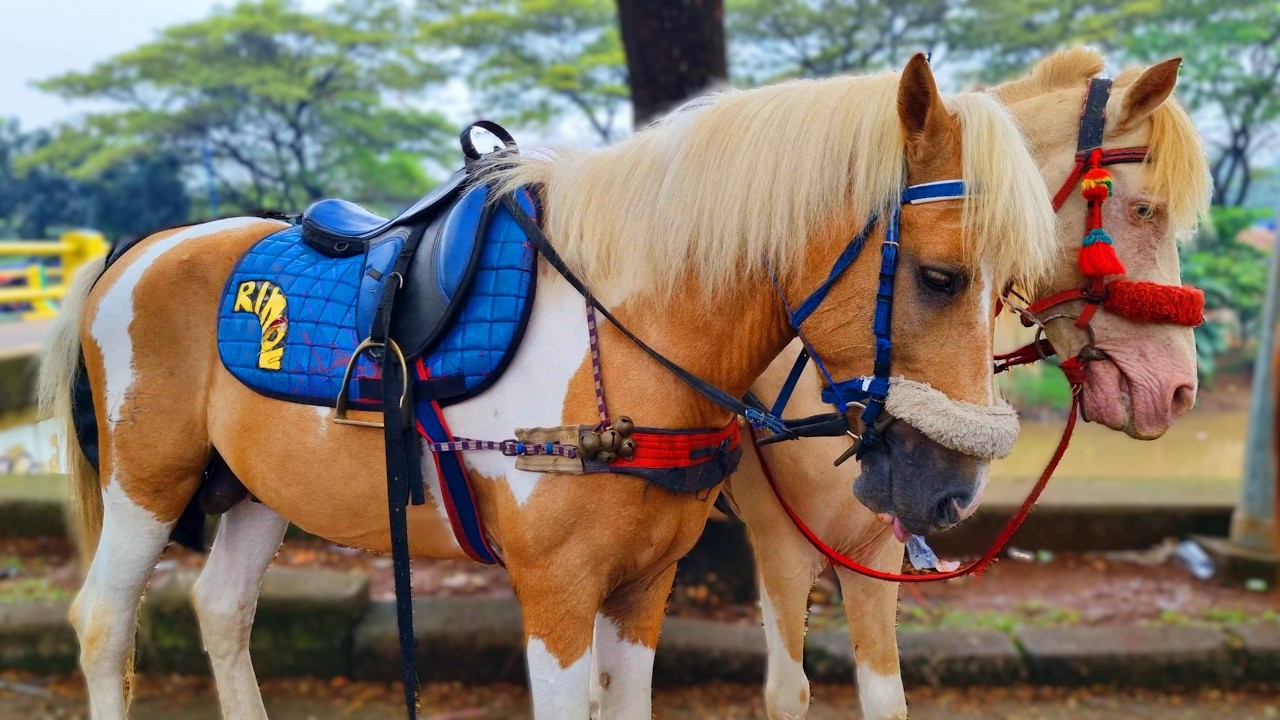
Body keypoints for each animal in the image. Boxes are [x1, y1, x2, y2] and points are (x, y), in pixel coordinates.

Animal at [38, 55, 1058, 720]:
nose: (953, 492)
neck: (625, 331)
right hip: (148, 482)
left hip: (256, 490)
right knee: (102, 622)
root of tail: (145, 246)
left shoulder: (642, 589)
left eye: (1012, 288)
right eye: (938, 278)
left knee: (221, 611)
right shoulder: (558, 594)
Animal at [720, 48, 1211, 720]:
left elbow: (886, 696)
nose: (1179, 389)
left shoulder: (875, 550)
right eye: (1144, 210)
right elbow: (788, 694)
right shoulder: (781, 549)